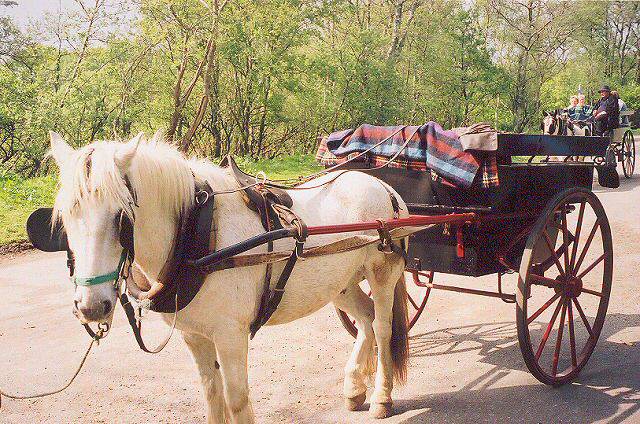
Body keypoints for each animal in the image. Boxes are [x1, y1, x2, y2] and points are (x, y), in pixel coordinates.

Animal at [48, 131, 410, 422]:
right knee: (364, 318)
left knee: (382, 327)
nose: (91, 307)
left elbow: (236, 401)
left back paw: (382, 396)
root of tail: (385, 188)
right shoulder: (194, 336)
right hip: (340, 283)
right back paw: (354, 387)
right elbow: (212, 396)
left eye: (121, 216)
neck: (198, 232)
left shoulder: (230, 336)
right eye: (65, 215)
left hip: (382, 273)